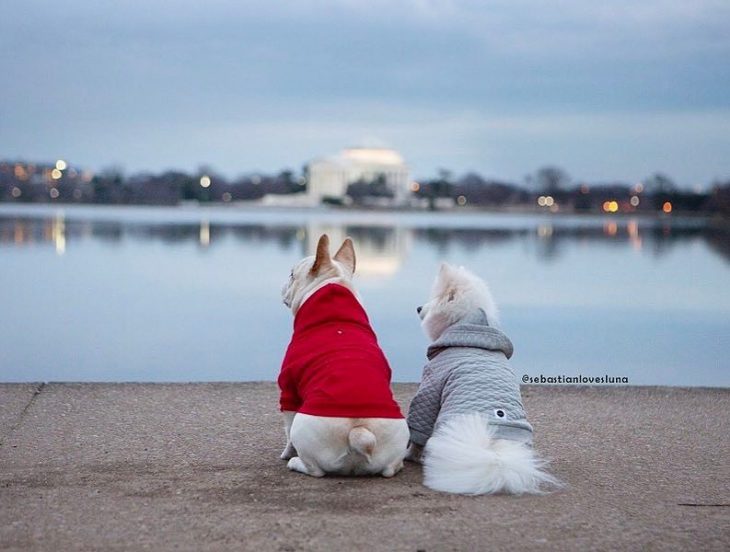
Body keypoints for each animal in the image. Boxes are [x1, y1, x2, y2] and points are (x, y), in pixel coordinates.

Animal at [278, 235, 406, 476]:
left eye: (291, 274)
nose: (283, 284)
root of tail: (358, 433)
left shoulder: (288, 386)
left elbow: (287, 428)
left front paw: (286, 453)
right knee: (391, 467)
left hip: (306, 433)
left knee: (314, 468)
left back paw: (296, 462)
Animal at [404, 264, 556, 496]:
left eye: (434, 298)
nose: (418, 308)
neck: (469, 324)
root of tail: (495, 454)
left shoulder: (431, 384)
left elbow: (418, 427)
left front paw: (410, 454)